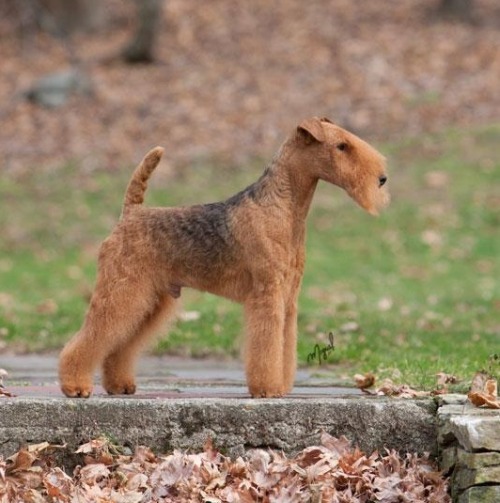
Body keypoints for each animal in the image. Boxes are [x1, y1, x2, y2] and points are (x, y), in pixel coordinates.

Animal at [57, 117, 386, 398]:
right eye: (341, 146)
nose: (382, 179)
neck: (283, 206)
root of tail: (130, 213)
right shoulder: (267, 294)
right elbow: (267, 346)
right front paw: (268, 389)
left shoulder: (289, 299)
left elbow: (284, 345)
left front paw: (281, 385)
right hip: (123, 290)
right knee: (89, 338)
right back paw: (75, 386)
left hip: (150, 298)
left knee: (119, 346)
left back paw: (120, 385)